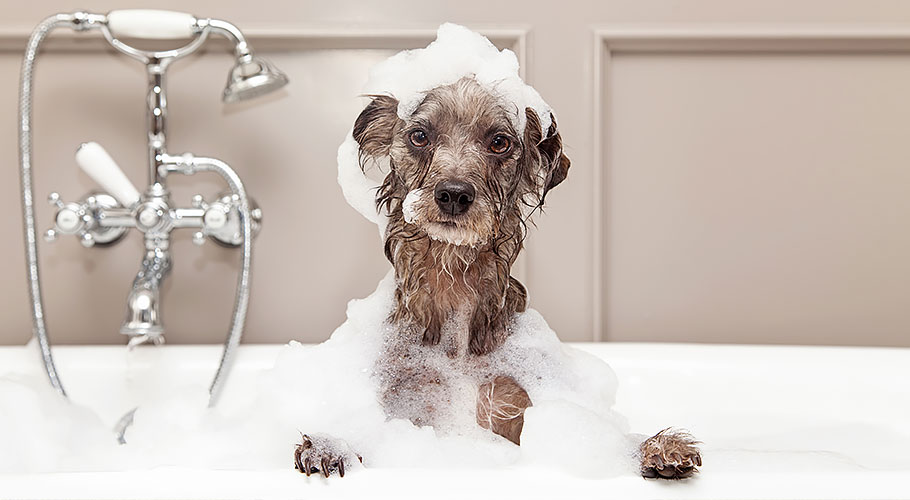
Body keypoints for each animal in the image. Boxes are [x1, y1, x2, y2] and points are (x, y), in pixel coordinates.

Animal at [296, 76, 700, 478]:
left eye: (499, 142)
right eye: (419, 136)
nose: (454, 194)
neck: (454, 289)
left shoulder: (514, 404)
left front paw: (653, 447)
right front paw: (335, 445)